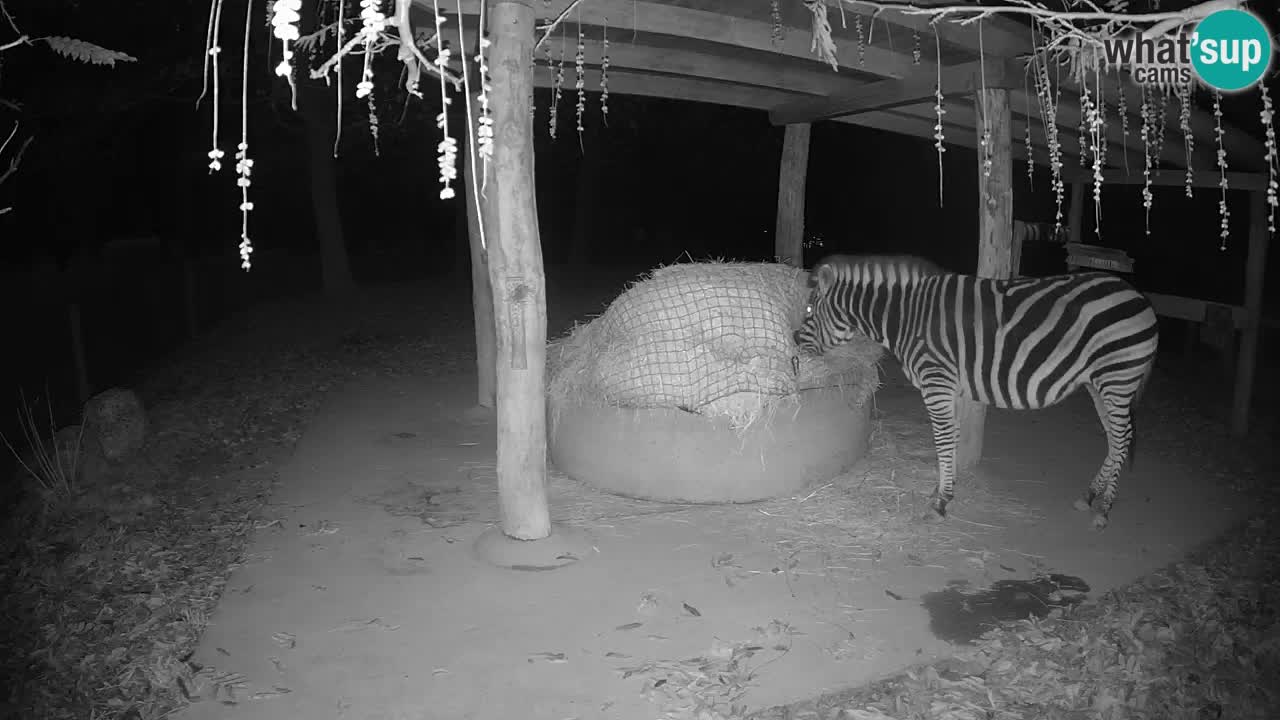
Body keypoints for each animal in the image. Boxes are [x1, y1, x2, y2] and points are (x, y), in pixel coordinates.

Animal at [788, 252, 1162, 527]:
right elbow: (951, 439)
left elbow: (942, 439)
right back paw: (1090, 496)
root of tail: (1137, 295)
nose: (793, 343)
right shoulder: (950, 386)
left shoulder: (936, 380)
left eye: (808, 308)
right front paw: (941, 491)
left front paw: (939, 503)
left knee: (1122, 438)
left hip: (1116, 379)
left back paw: (1104, 509)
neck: (906, 316)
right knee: (1115, 438)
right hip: (1099, 383)